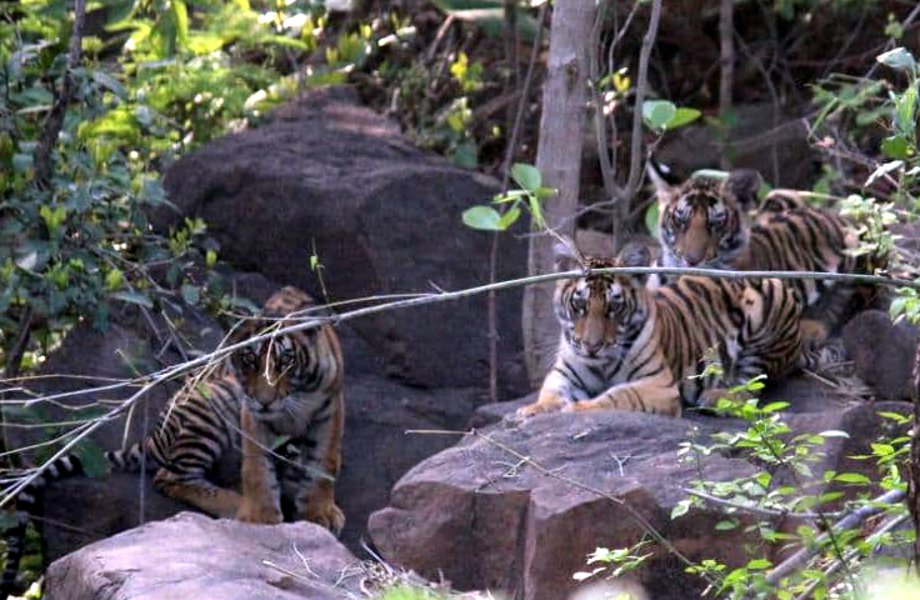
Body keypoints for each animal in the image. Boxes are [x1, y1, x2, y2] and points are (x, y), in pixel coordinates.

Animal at [516, 240, 805, 418]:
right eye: (580, 305)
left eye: (613, 307)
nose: (592, 346)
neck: (601, 365)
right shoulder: (565, 373)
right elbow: (550, 392)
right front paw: (532, 410)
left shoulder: (658, 384)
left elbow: (619, 395)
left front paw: (579, 409)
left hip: (771, 305)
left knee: (751, 386)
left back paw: (715, 398)